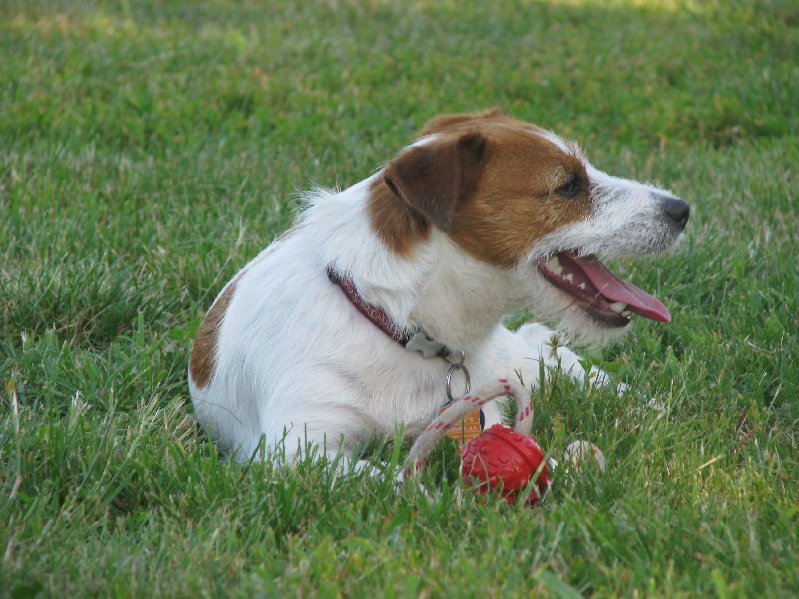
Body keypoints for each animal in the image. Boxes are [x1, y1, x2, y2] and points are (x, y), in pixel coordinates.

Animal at [188, 109, 688, 468]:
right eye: (568, 186)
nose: (682, 209)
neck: (393, 321)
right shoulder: (299, 450)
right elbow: (381, 476)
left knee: (547, 348)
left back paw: (649, 407)